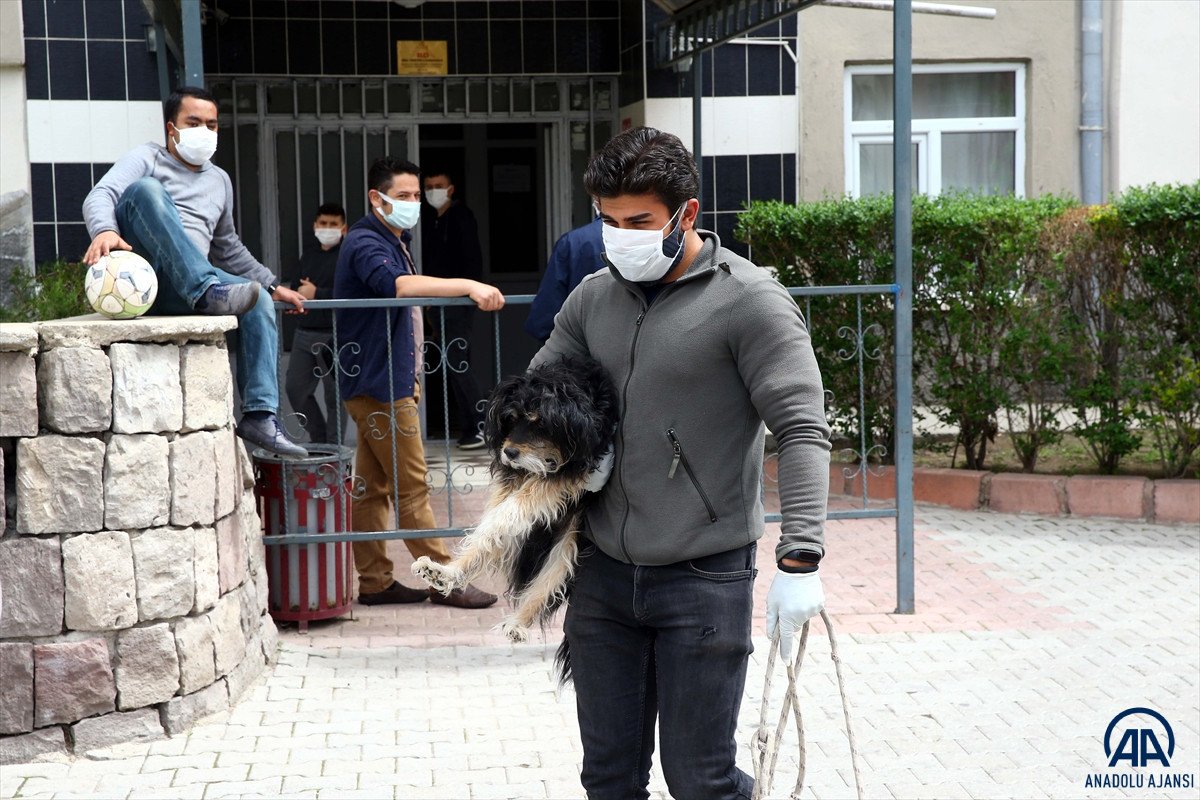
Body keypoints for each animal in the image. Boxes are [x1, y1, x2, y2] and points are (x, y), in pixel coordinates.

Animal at [412, 359, 619, 647]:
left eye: (539, 423)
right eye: (510, 419)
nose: (508, 452)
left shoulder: (568, 470)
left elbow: (507, 514)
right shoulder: (516, 476)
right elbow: (493, 524)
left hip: (570, 543)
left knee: (548, 579)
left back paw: (518, 623)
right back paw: (445, 573)